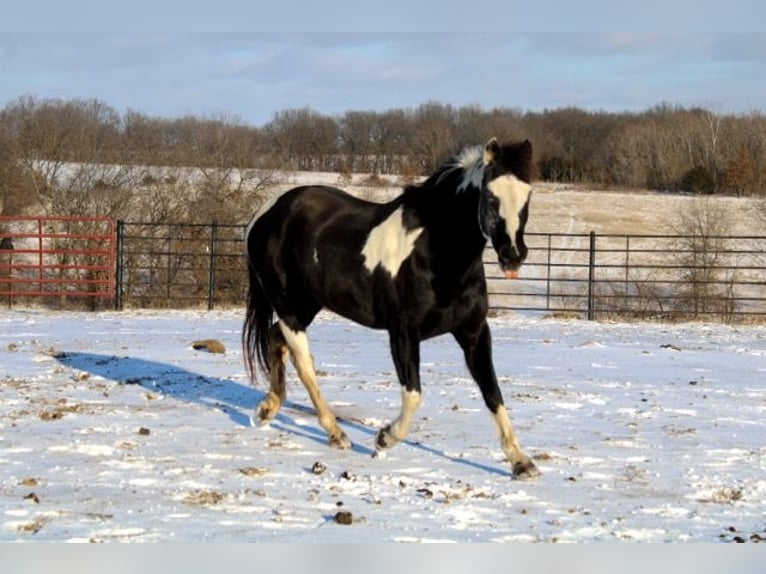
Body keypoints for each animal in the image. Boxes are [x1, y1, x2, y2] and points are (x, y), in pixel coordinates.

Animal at [244, 137, 540, 480]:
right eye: (490, 196)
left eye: (528, 195)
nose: (513, 255)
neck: (437, 253)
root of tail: (267, 213)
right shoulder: (403, 334)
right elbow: (413, 394)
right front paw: (383, 439)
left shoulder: (474, 334)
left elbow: (493, 393)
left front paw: (521, 462)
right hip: (289, 306)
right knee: (303, 363)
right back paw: (336, 434)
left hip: (307, 304)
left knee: (275, 338)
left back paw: (267, 409)